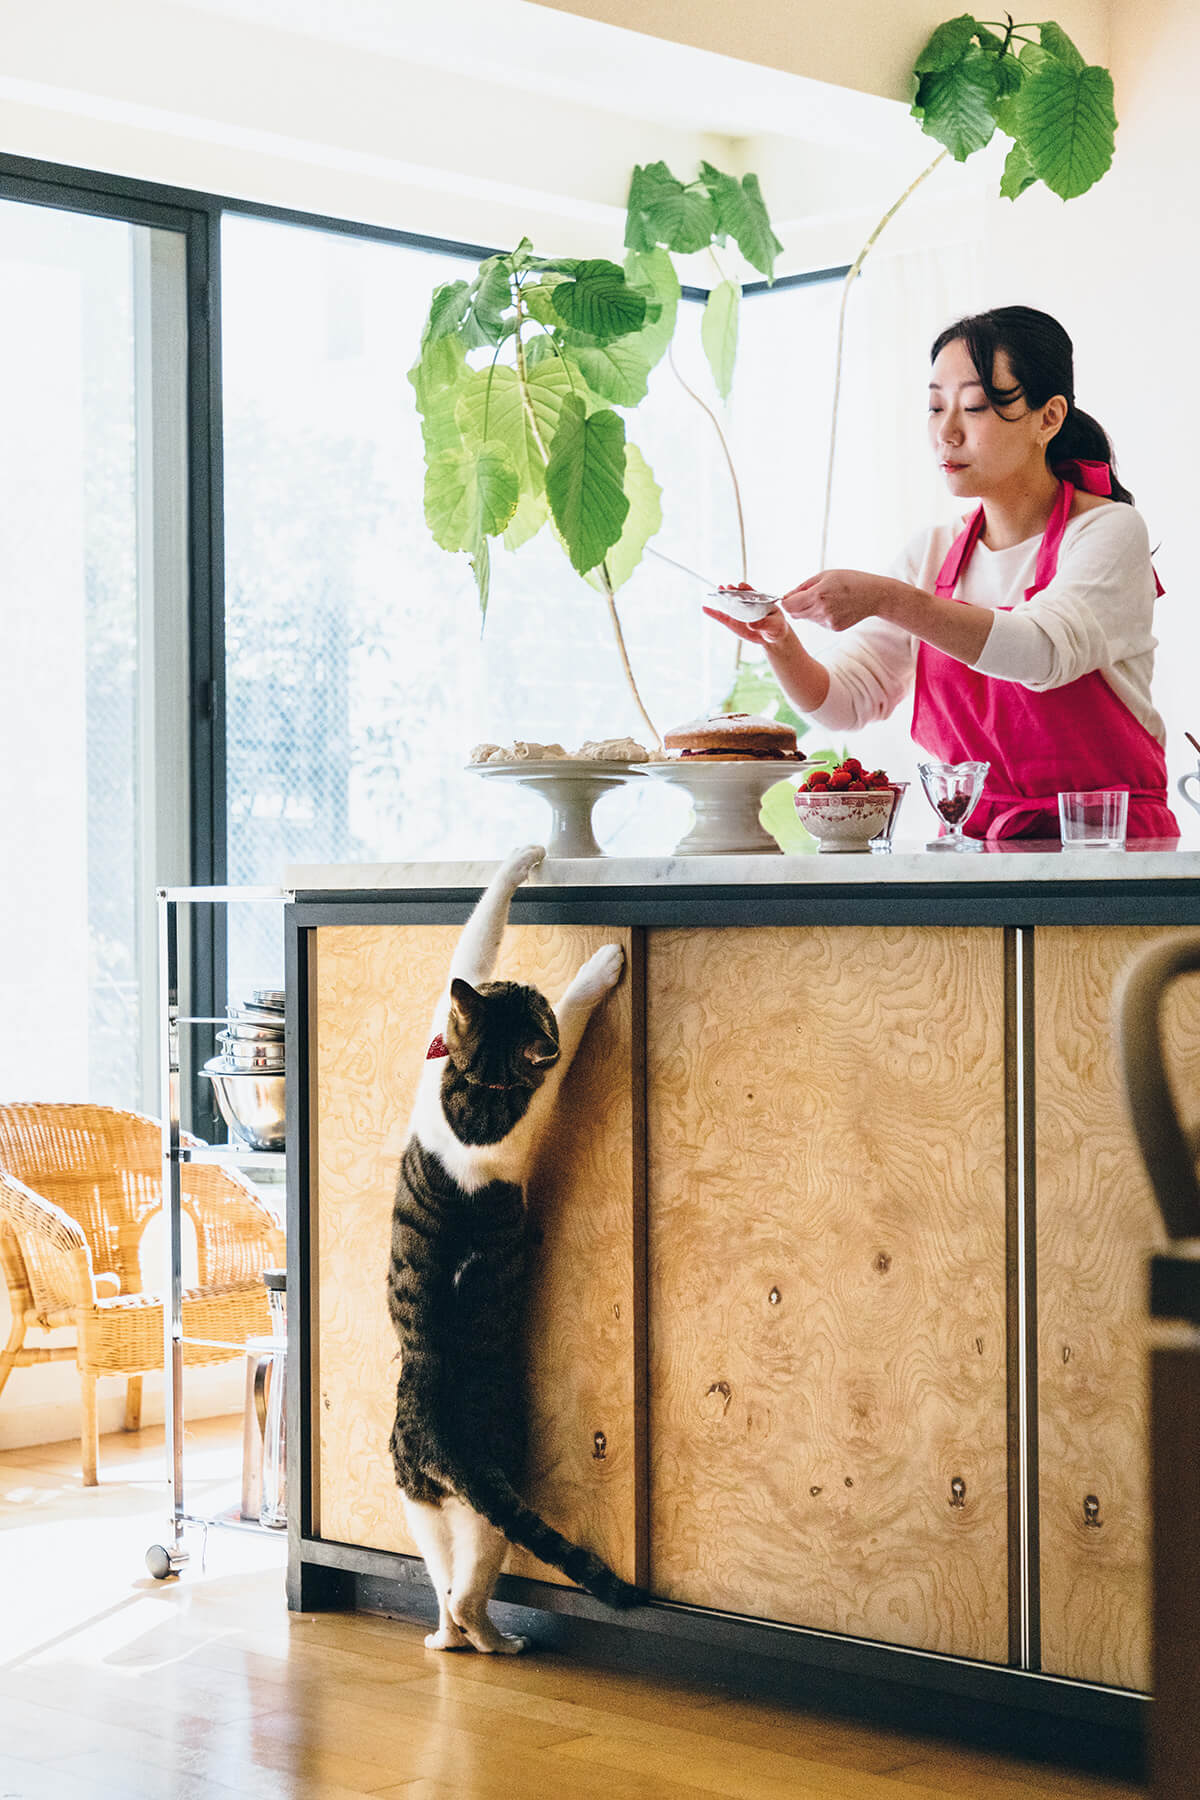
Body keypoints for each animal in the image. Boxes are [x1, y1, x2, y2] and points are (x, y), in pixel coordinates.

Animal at [390, 849, 644, 1648]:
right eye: (519, 993)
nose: (522, 983)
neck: (479, 1088)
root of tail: (441, 1448)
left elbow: (469, 949)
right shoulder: (536, 1073)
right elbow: (490, 949)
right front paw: (531, 867)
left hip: (419, 1500)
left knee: (445, 1588)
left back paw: (444, 1639)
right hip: (489, 1511)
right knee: (471, 1592)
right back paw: (504, 1639)